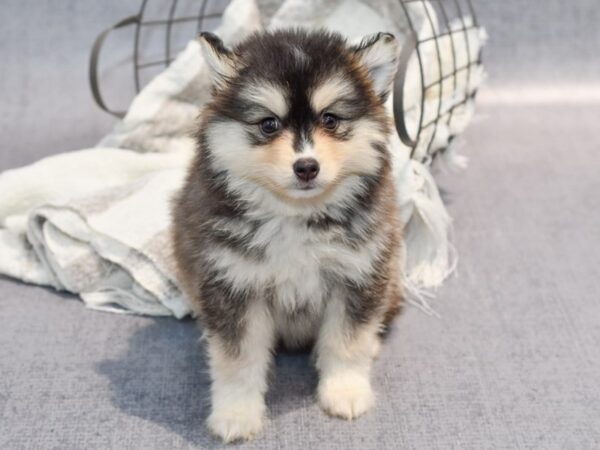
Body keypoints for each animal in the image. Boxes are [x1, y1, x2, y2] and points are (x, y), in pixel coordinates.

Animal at [169, 29, 404, 442]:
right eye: (268, 124)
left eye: (330, 119)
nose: (306, 166)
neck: (295, 217)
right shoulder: (233, 286)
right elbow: (237, 360)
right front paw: (236, 412)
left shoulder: (357, 275)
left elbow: (346, 343)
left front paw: (345, 390)